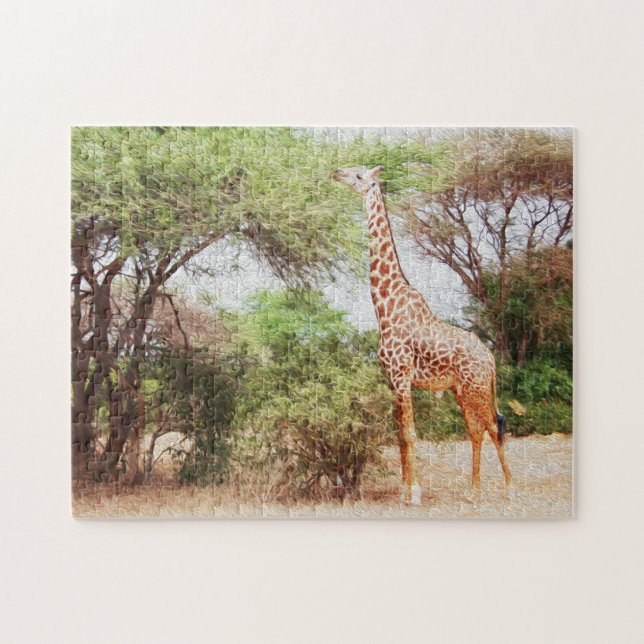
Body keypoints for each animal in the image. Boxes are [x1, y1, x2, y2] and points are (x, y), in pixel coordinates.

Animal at [332, 165, 511, 504]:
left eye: (359, 176)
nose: (336, 172)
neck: (385, 305)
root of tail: (490, 357)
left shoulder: (402, 375)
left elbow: (411, 433)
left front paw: (413, 492)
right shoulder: (391, 378)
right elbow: (400, 434)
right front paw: (404, 489)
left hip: (477, 387)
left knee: (493, 426)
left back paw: (509, 485)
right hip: (461, 389)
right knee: (475, 430)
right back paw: (473, 488)